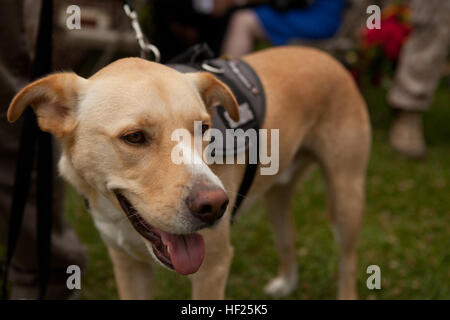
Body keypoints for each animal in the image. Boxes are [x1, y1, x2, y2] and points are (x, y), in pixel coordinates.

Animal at [7, 47, 370, 300]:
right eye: (134, 137)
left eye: (205, 128)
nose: (216, 206)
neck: (121, 220)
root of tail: (325, 55)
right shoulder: (128, 266)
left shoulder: (213, 267)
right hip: (277, 197)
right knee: (287, 237)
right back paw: (287, 283)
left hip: (347, 196)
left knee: (348, 261)